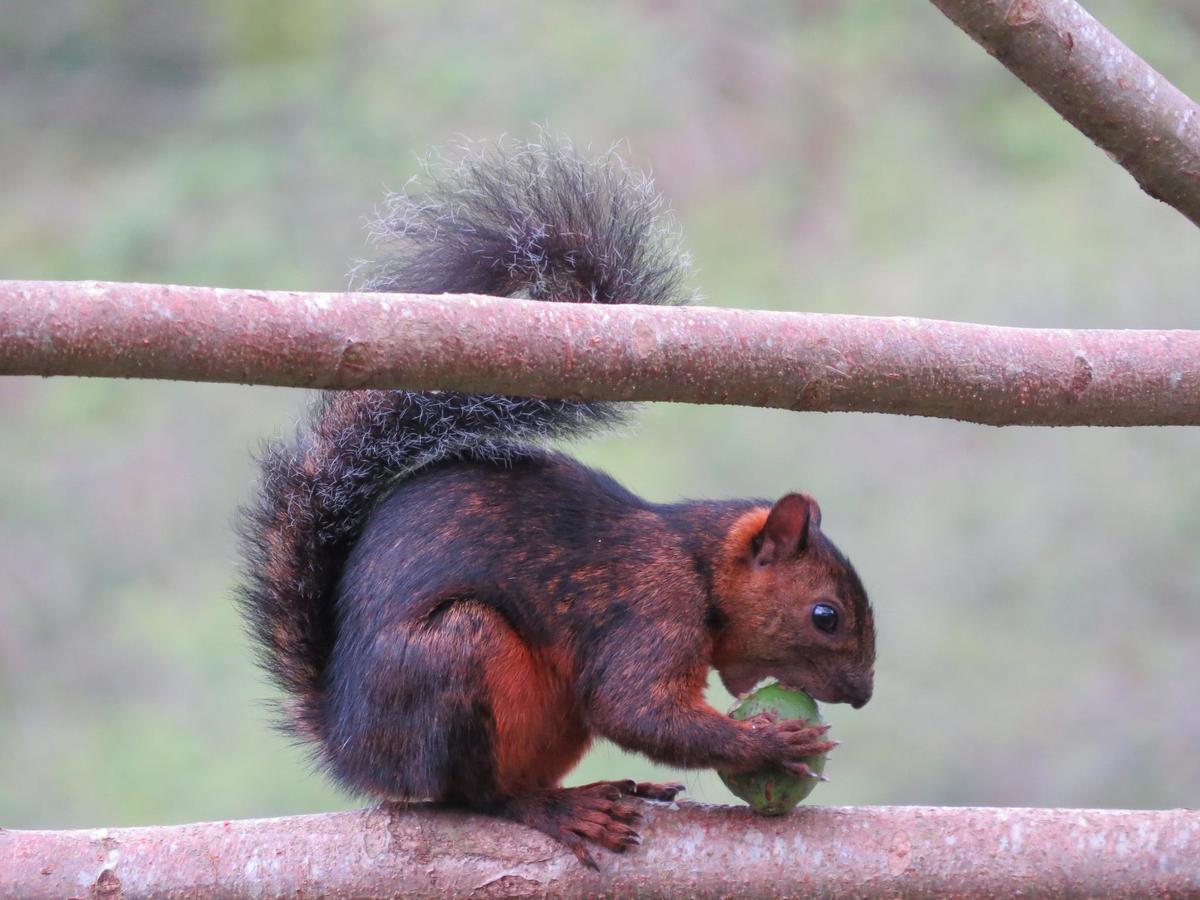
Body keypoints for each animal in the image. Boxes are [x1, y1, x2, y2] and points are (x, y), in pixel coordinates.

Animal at [236, 137, 873, 868]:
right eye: (825, 615)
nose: (863, 696)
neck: (696, 562)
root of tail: (351, 746)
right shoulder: (650, 609)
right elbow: (635, 708)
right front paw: (767, 742)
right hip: (456, 662)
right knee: (477, 795)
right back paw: (553, 808)